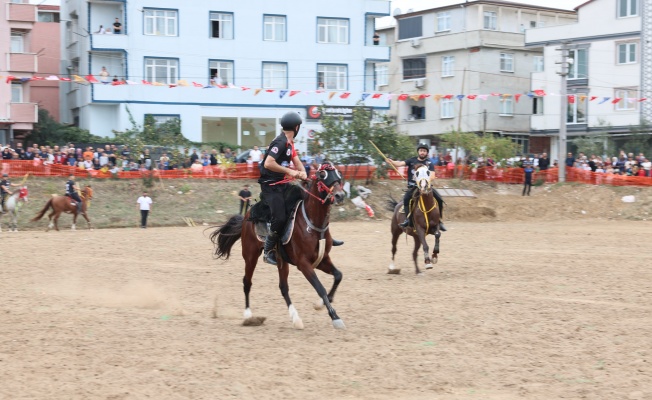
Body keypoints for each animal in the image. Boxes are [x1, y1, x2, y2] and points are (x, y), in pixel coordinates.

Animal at [211, 164, 348, 330]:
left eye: (339, 174)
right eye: (323, 175)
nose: (340, 195)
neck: (313, 224)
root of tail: (246, 216)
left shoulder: (322, 260)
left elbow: (338, 275)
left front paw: (321, 304)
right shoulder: (303, 264)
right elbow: (320, 288)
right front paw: (335, 317)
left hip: (281, 261)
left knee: (283, 288)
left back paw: (296, 318)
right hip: (250, 256)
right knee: (247, 282)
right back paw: (248, 316)